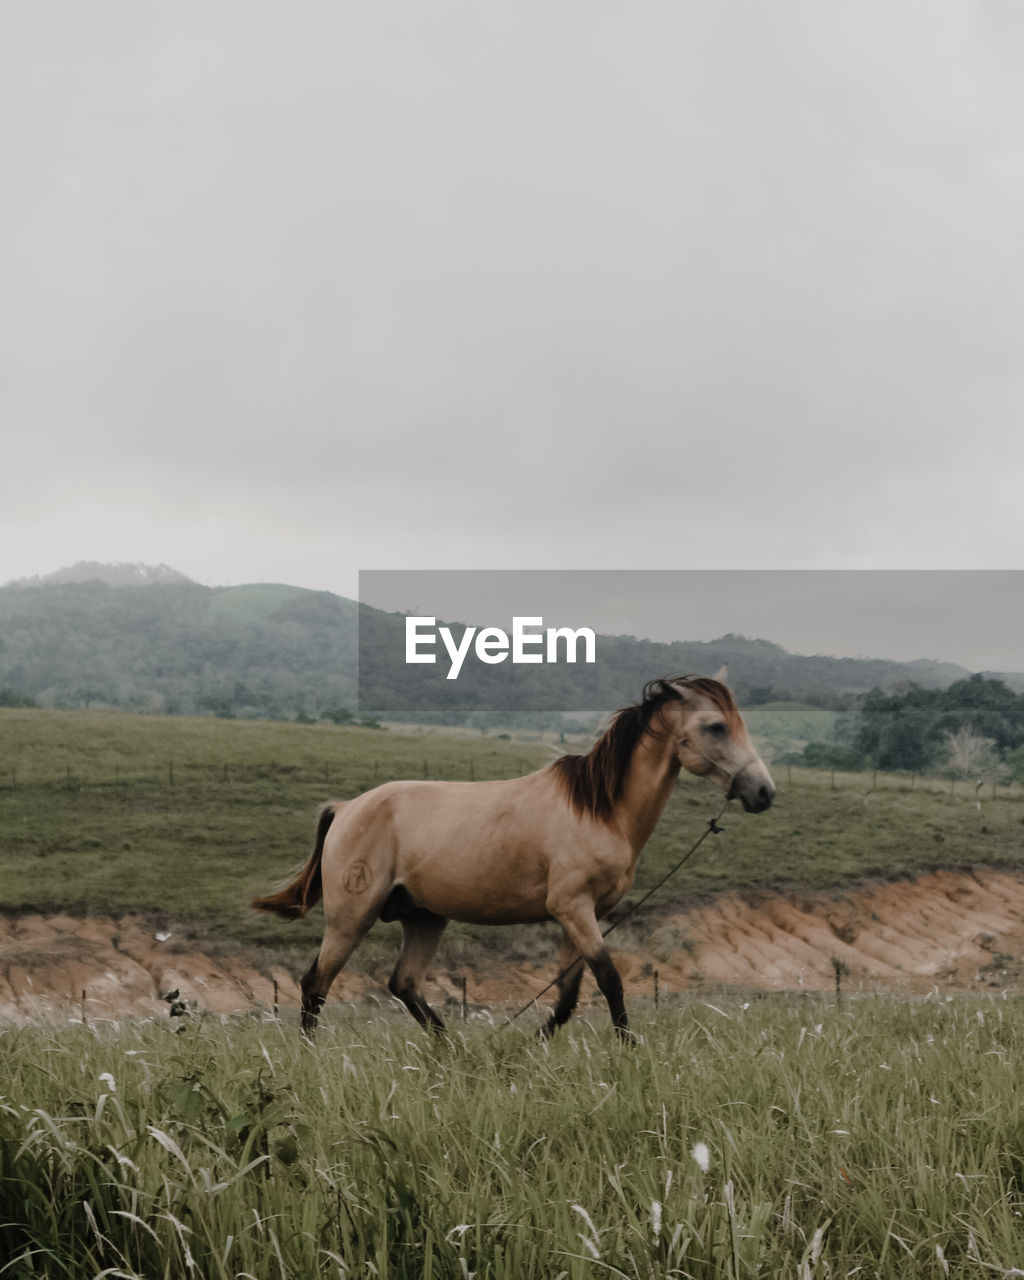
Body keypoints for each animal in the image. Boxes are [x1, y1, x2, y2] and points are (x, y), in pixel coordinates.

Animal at [256, 670, 778, 1039]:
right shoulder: (573, 909)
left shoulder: (579, 916)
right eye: (715, 726)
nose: (764, 792)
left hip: (425, 919)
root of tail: (346, 808)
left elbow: (567, 997)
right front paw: (629, 1050)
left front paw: (528, 1048)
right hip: (351, 919)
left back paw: (456, 1054)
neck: (599, 810)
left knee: (403, 984)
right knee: (315, 985)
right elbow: (610, 981)